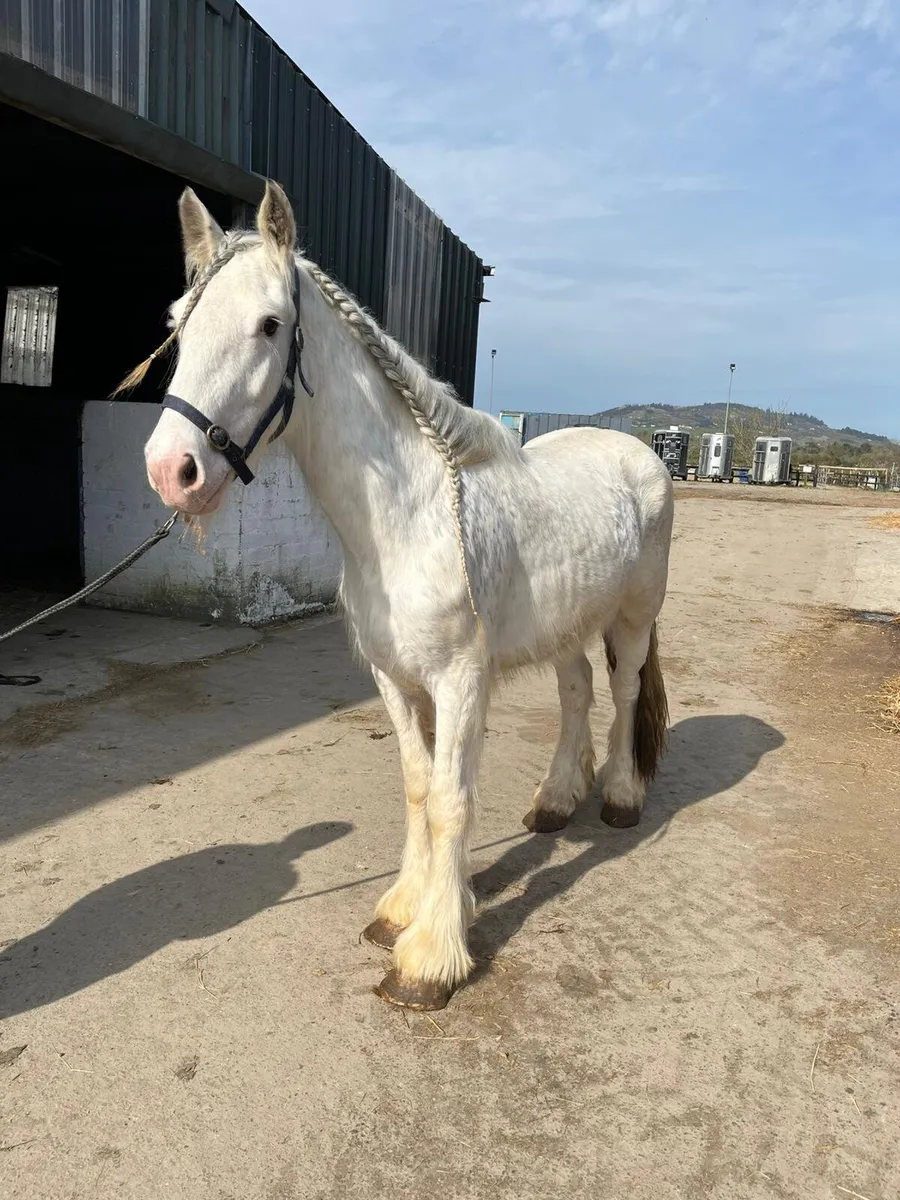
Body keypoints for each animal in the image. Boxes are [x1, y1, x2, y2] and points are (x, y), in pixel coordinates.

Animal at [133, 180, 674, 1011]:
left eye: (269, 325)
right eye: (176, 326)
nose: (172, 470)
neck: (408, 519)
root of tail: (637, 450)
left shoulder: (459, 682)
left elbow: (452, 800)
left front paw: (431, 959)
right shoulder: (393, 679)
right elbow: (420, 790)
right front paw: (400, 910)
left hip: (634, 618)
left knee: (622, 690)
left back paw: (618, 798)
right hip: (565, 624)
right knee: (578, 690)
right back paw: (555, 803)